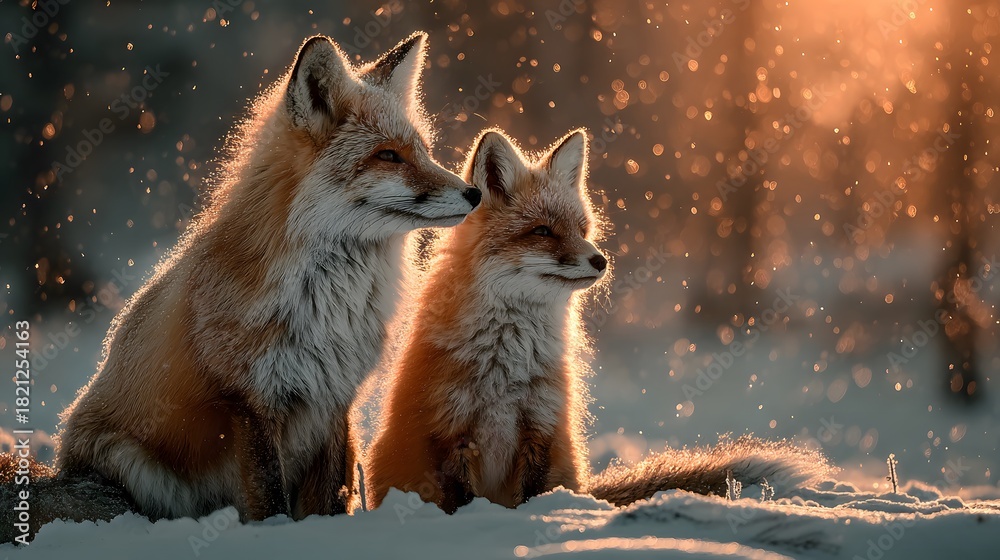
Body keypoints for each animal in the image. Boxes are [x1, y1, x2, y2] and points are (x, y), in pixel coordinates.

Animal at [10, 31, 482, 530]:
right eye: (388, 155)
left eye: (423, 151)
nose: (474, 192)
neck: (328, 305)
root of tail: (62, 466)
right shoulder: (249, 401)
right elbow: (269, 501)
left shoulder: (335, 399)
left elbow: (330, 500)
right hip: (133, 464)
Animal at [364, 128, 833, 513]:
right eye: (543, 231)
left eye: (582, 228)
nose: (600, 260)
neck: (508, 358)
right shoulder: (450, 431)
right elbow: (458, 501)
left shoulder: (542, 429)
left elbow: (530, 499)